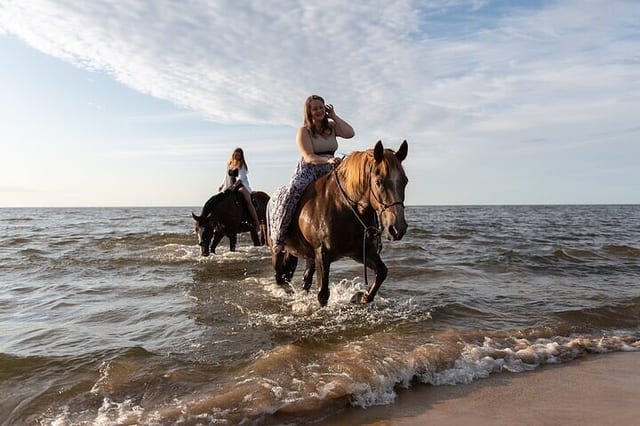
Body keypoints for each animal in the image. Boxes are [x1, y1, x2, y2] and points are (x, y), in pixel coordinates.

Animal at [269, 140, 408, 306]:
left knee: (305, 279)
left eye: (405, 181)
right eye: (379, 181)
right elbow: (323, 294)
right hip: (278, 251)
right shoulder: (322, 255)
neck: (343, 206)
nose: (397, 229)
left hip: (309, 255)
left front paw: (361, 297)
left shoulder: (361, 251)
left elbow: (382, 272)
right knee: (280, 277)